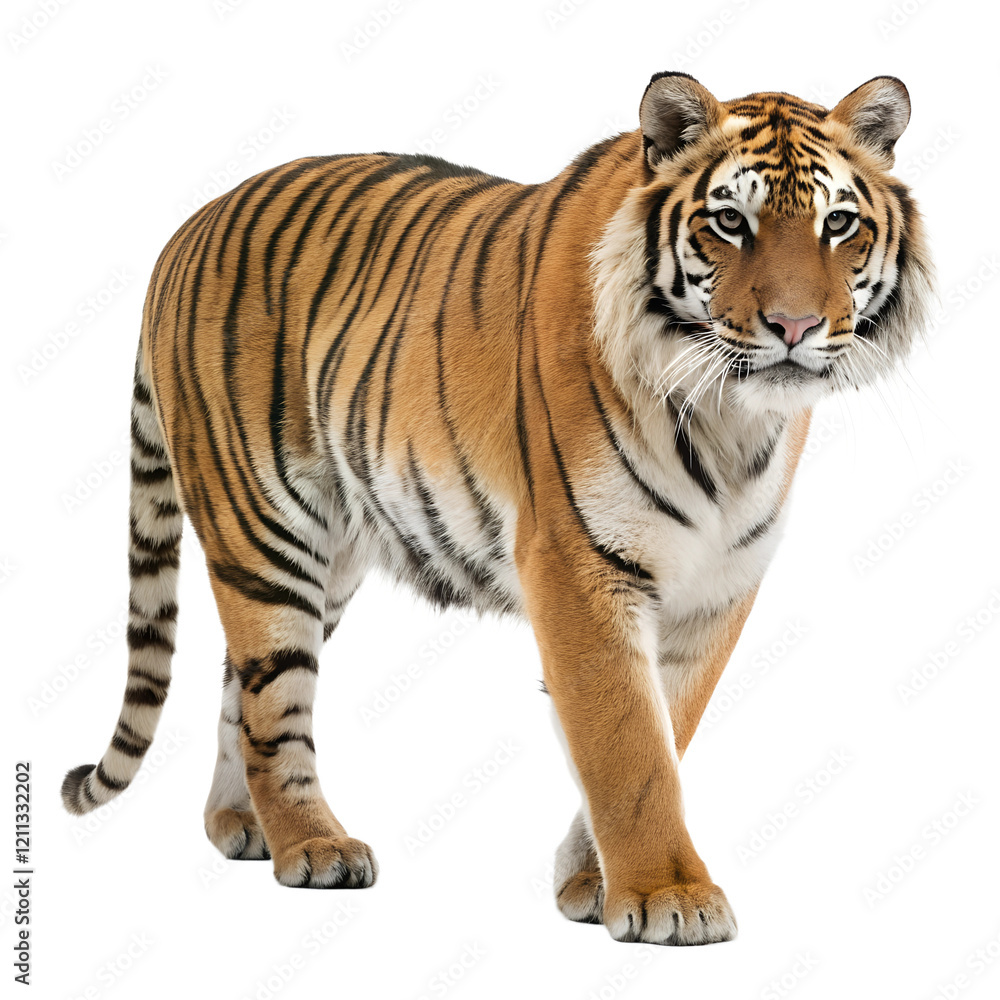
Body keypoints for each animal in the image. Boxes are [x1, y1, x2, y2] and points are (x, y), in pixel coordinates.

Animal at [62, 71, 932, 946]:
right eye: (729, 222)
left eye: (838, 224)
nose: (796, 326)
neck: (730, 420)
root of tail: (187, 227)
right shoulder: (579, 565)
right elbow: (629, 748)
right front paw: (668, 895)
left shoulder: (719, 587)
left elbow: (667, 729)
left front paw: (592, 883)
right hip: (266, 533)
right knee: (274, 702)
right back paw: (311, 845)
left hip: (328, 559)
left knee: (238, 685)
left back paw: (241, 826)